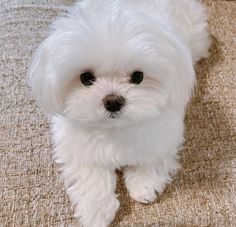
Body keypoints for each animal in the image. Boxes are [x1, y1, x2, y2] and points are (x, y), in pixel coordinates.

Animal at [28, 0, 210, 226]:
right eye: (86, 78)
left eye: (138, 76)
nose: (113, 101)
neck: (115, 129)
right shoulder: (79, 149)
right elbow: (91, 175)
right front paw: (96, 212)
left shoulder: (162, 135)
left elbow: (151, 158)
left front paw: (143, 185)